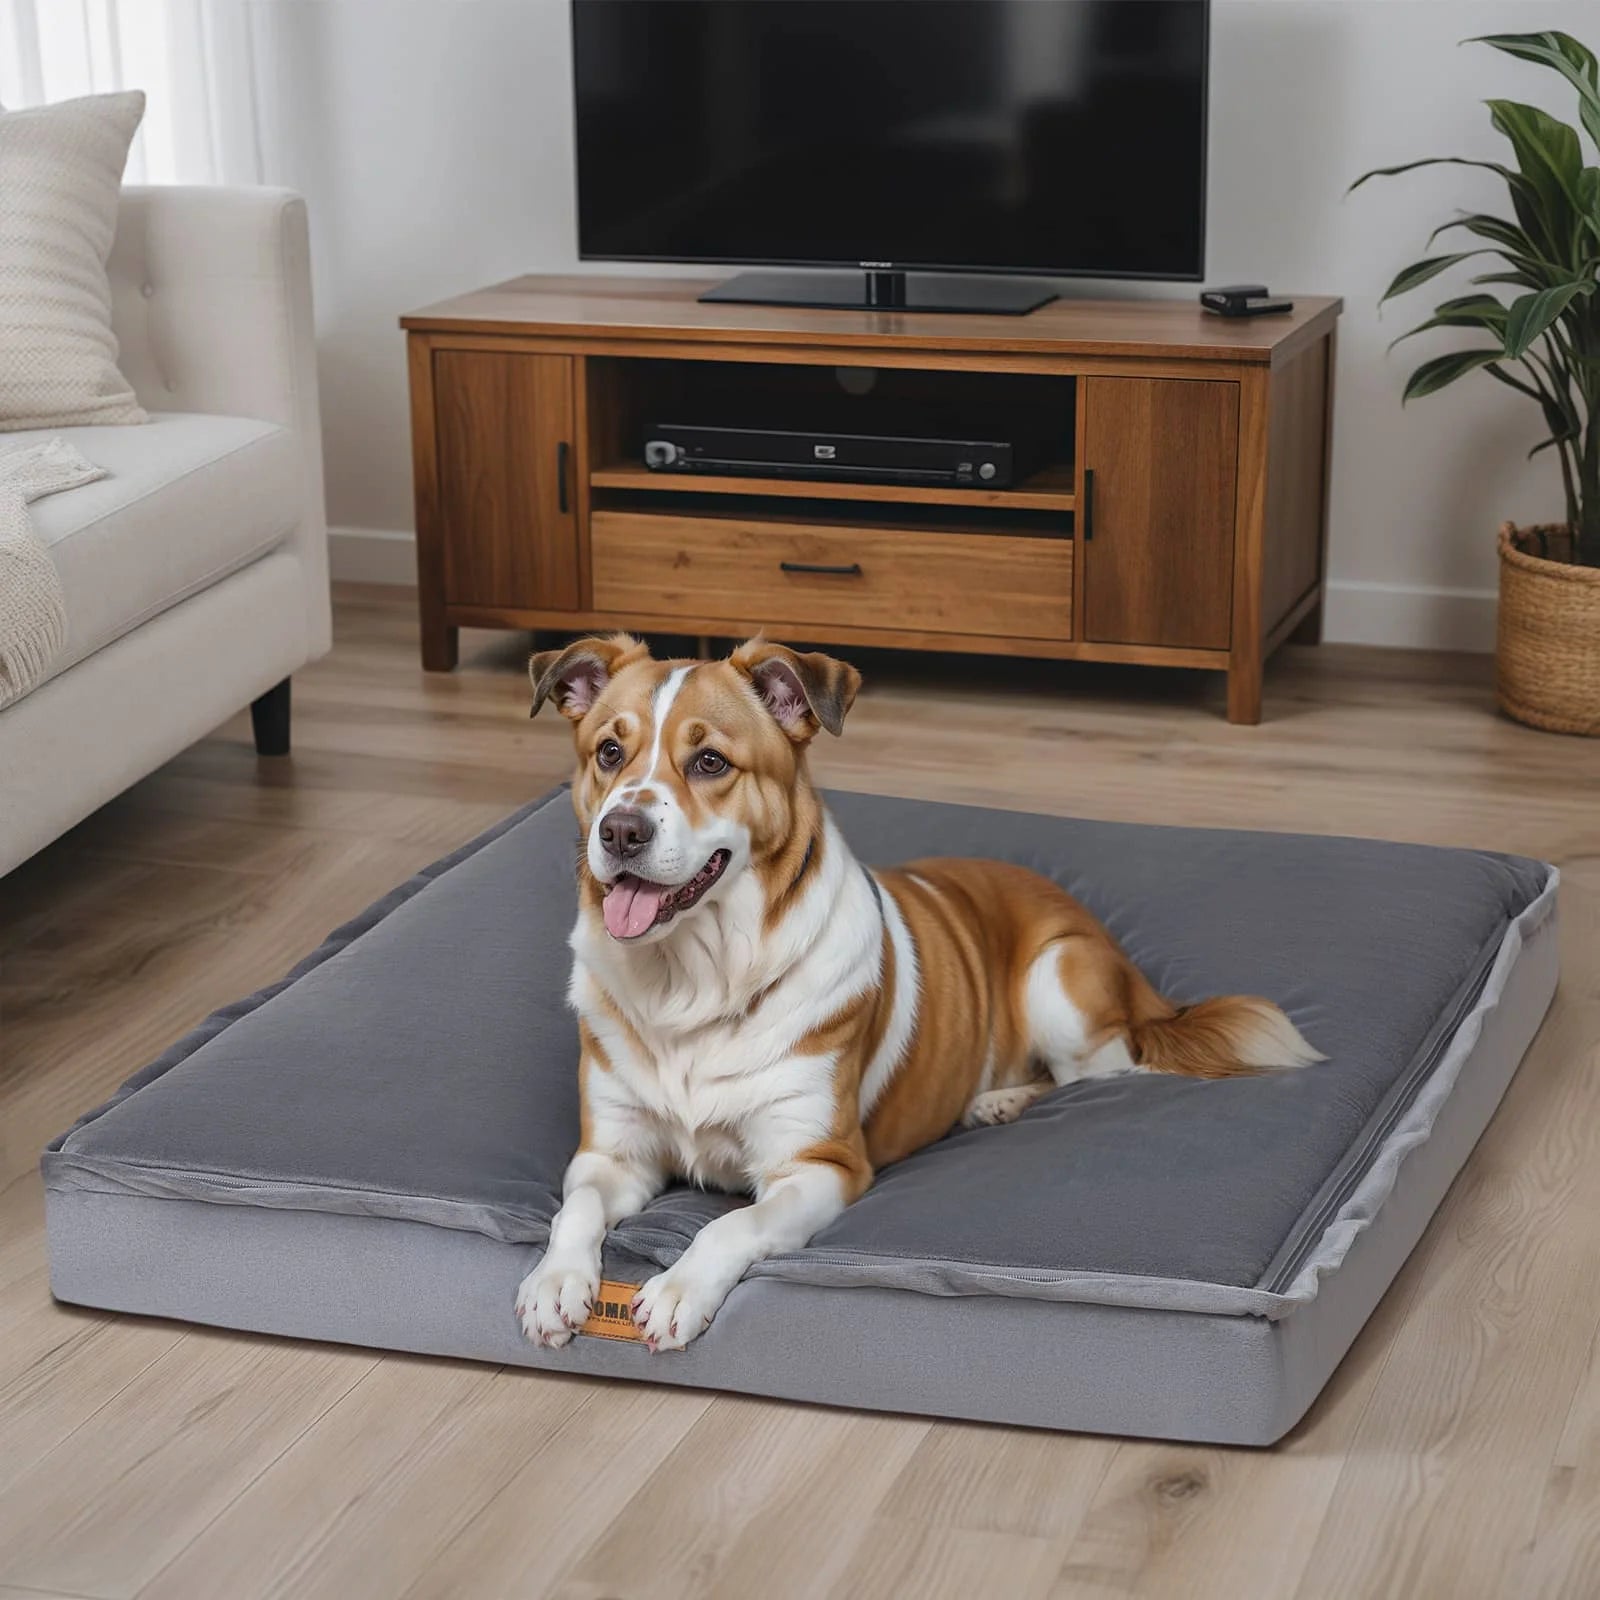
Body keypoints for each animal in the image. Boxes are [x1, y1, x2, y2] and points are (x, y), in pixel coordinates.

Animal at [518, 633, 1318, 1350]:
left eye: (709, 760)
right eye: (609, 753)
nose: (620, 831)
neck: (693, 977)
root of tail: (1118, 955)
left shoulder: (822, 1166)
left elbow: (730, 1222)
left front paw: (679, 1290)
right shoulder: (612, 1152)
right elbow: (575, 1207)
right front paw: (555, 1282)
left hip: (1058, 978)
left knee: (1102, 1070)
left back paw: (999, 1099)